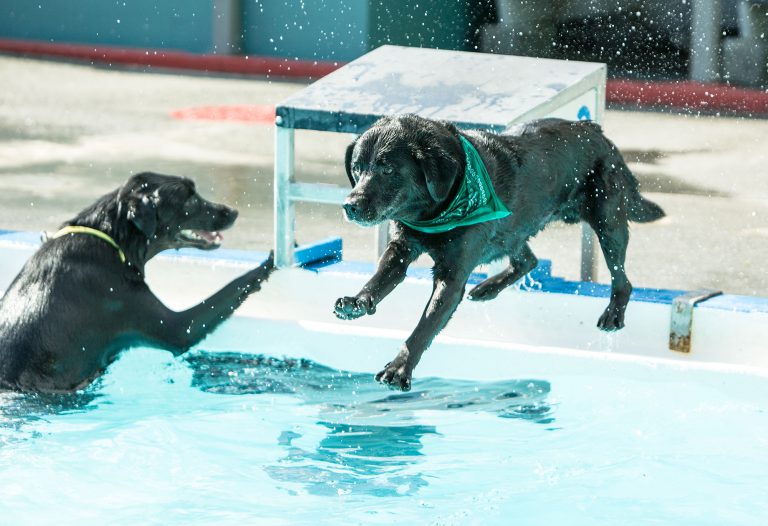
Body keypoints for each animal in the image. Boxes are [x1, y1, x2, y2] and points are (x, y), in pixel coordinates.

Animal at [0, 174, 274, 396]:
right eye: (189, 200)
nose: (233, 212)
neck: (113, 239)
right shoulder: (173, 326)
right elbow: (232, 288)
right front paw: (269, 263)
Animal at [336, 116, 664, 392]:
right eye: (357, 168)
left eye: (388, 169)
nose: (350, 205)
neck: (435, 210)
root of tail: (594, 129)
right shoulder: (402, 247)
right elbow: (380, 278)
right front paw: (358, 302)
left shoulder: (452, 277)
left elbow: (425, 325)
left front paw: (399, 368)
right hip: (514, 229)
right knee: (528, 260)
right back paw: (487, 288)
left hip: (608, 221)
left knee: (621, 278)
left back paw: (613, 314)